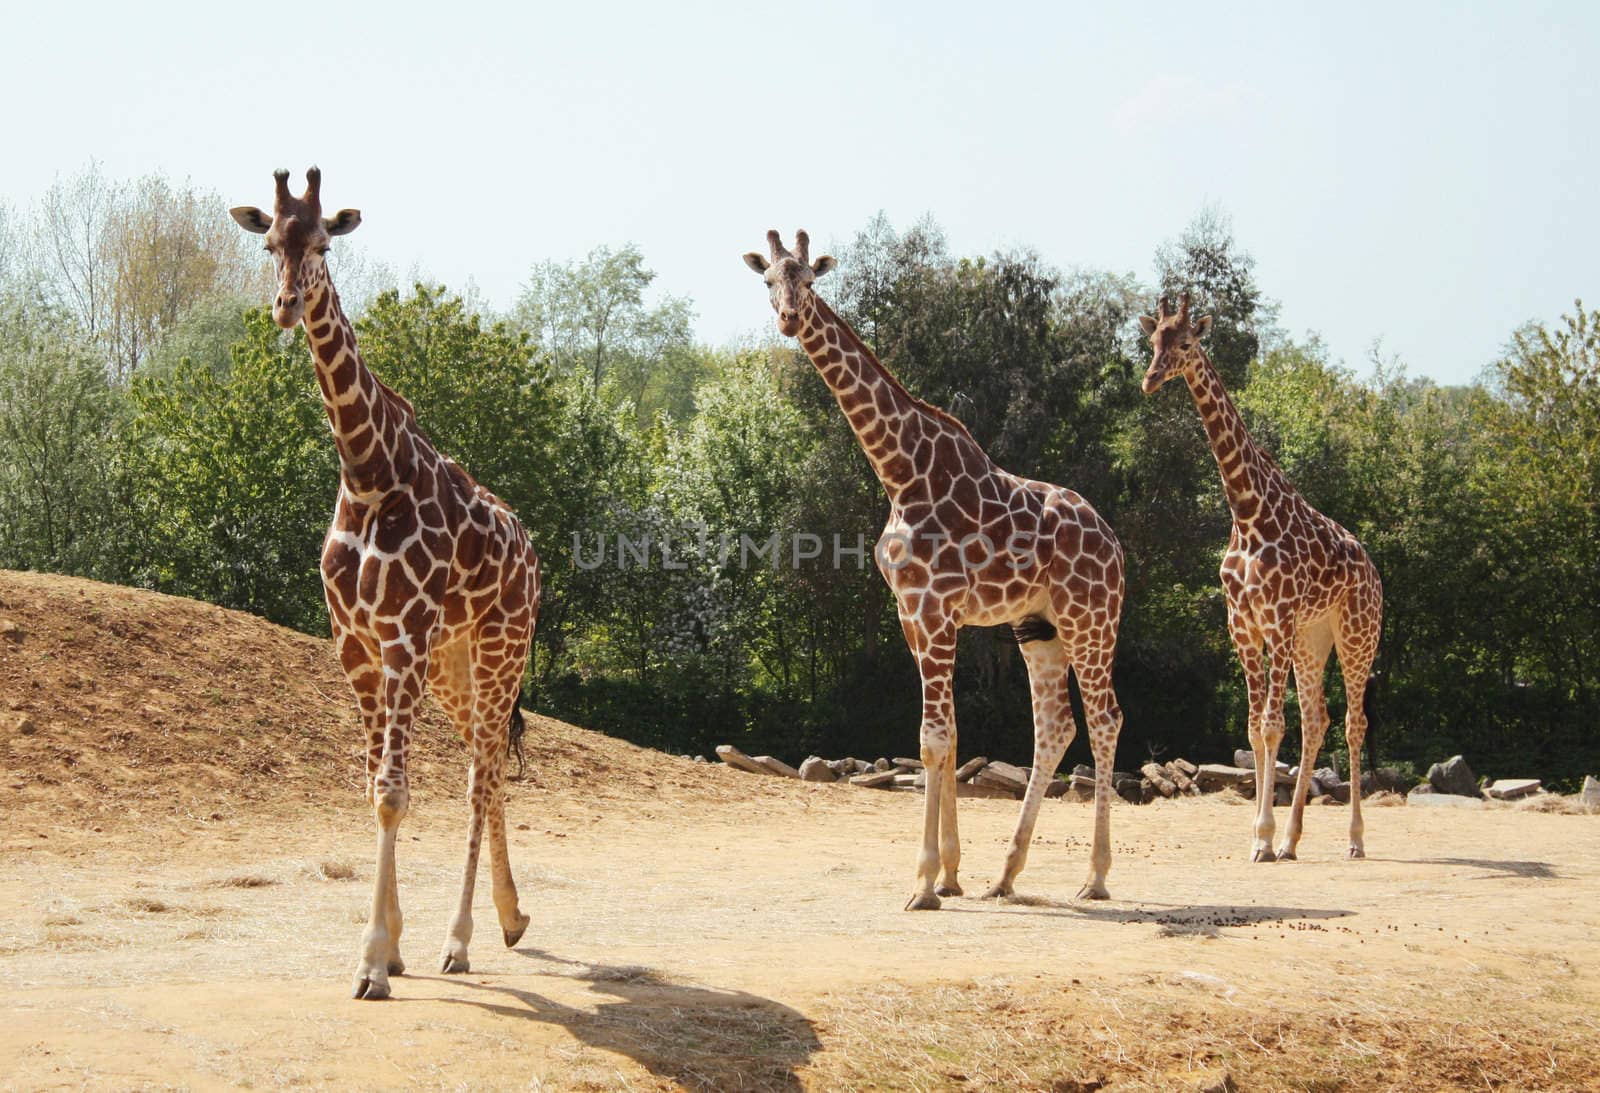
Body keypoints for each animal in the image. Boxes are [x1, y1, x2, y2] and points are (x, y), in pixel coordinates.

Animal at [232, 168, 540, 998]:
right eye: (270, 243)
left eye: (324, 242)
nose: (285, 306)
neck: (367, 471)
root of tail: (532, 551)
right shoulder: (357, 643)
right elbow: (375, 784)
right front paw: (391, 947)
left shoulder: (400, 638)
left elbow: (395, 793)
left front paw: (373, 960)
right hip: (453, 663)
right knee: (486, 763)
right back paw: (510, 918)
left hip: (502, 647)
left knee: (481, 773)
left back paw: (463, 939)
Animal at [745, 228, 1126, 908]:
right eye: (768, 281)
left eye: (809, 281)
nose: (788, 318)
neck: (900, 473)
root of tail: (1114, 542)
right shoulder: (913, 616)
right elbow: (947, 740)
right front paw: (950, 874)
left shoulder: (937, 609)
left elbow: (935, 741)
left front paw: (922, 882)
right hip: (1039, 626)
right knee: (1054, 727)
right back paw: (1006, 874)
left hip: (1091, 619)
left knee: (1105, 720)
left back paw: (1096, 876)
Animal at [1145, 291, 1382, 864]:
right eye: (1152, 340)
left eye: (1186, 344)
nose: (1150, 379)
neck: (1249, 512)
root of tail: (1373, 568)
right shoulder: (1243, 625)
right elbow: (1255, 732)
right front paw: (1262, 835)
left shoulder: (1276, 619)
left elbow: (1273, 727)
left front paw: (1264, 837)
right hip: (1313, 638)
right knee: (1319, 719)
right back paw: (1295, 840)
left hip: (1356, 634)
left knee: (1353, 723)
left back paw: (1355, 840)